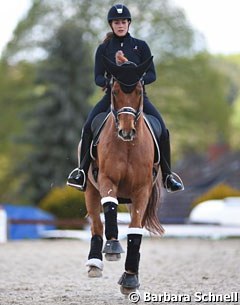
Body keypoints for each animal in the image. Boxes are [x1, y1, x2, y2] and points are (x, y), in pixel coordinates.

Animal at [83, 52, 164, 294]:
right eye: (115, 91)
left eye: (138, 90)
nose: (126, 131)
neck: (128, 146)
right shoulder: (106, 180)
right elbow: (109, 206)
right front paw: (112, 246)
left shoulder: (142, 190)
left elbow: (135, 231)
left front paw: (130, 278)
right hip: (90, 190)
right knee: (96, 225)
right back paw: (95, 262)